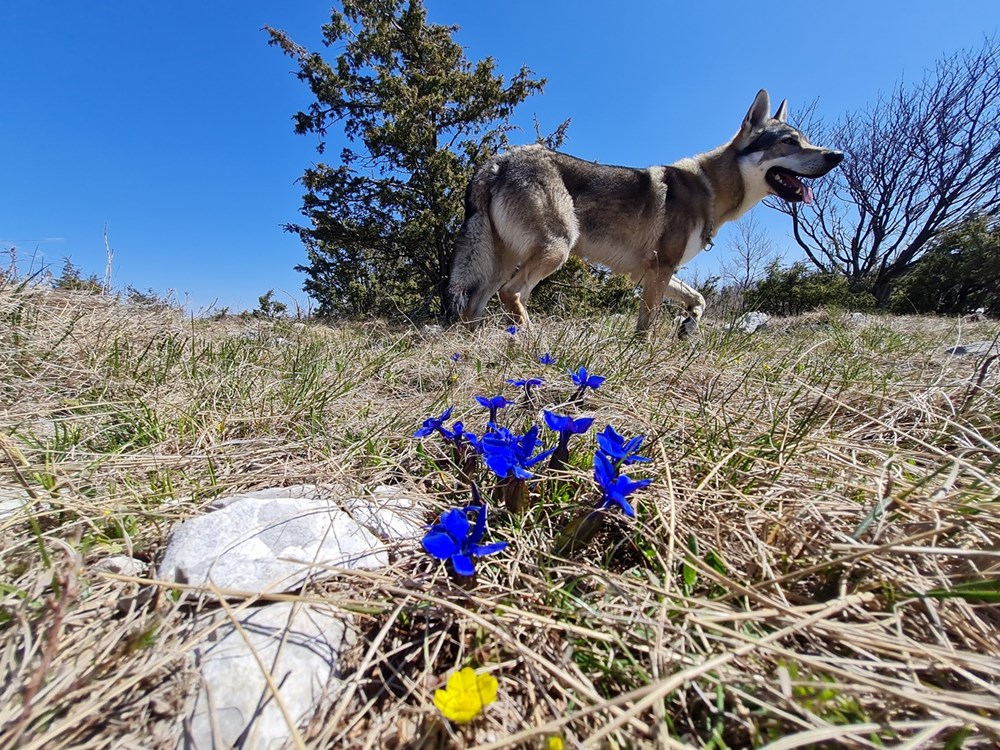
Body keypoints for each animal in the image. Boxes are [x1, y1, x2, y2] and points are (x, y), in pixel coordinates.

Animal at [448, 89, 843, 335]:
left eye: (805, 140)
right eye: (789, 142)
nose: (837, 155)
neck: (710, 189)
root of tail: (498, 160)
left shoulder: (652, 270)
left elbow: (698, 299)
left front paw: (688, 328)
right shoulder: (660, 269)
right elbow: (646, 327)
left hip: (504, 263)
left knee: (474, 308)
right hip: (554, 250)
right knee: (511, 295)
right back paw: (533, 343)